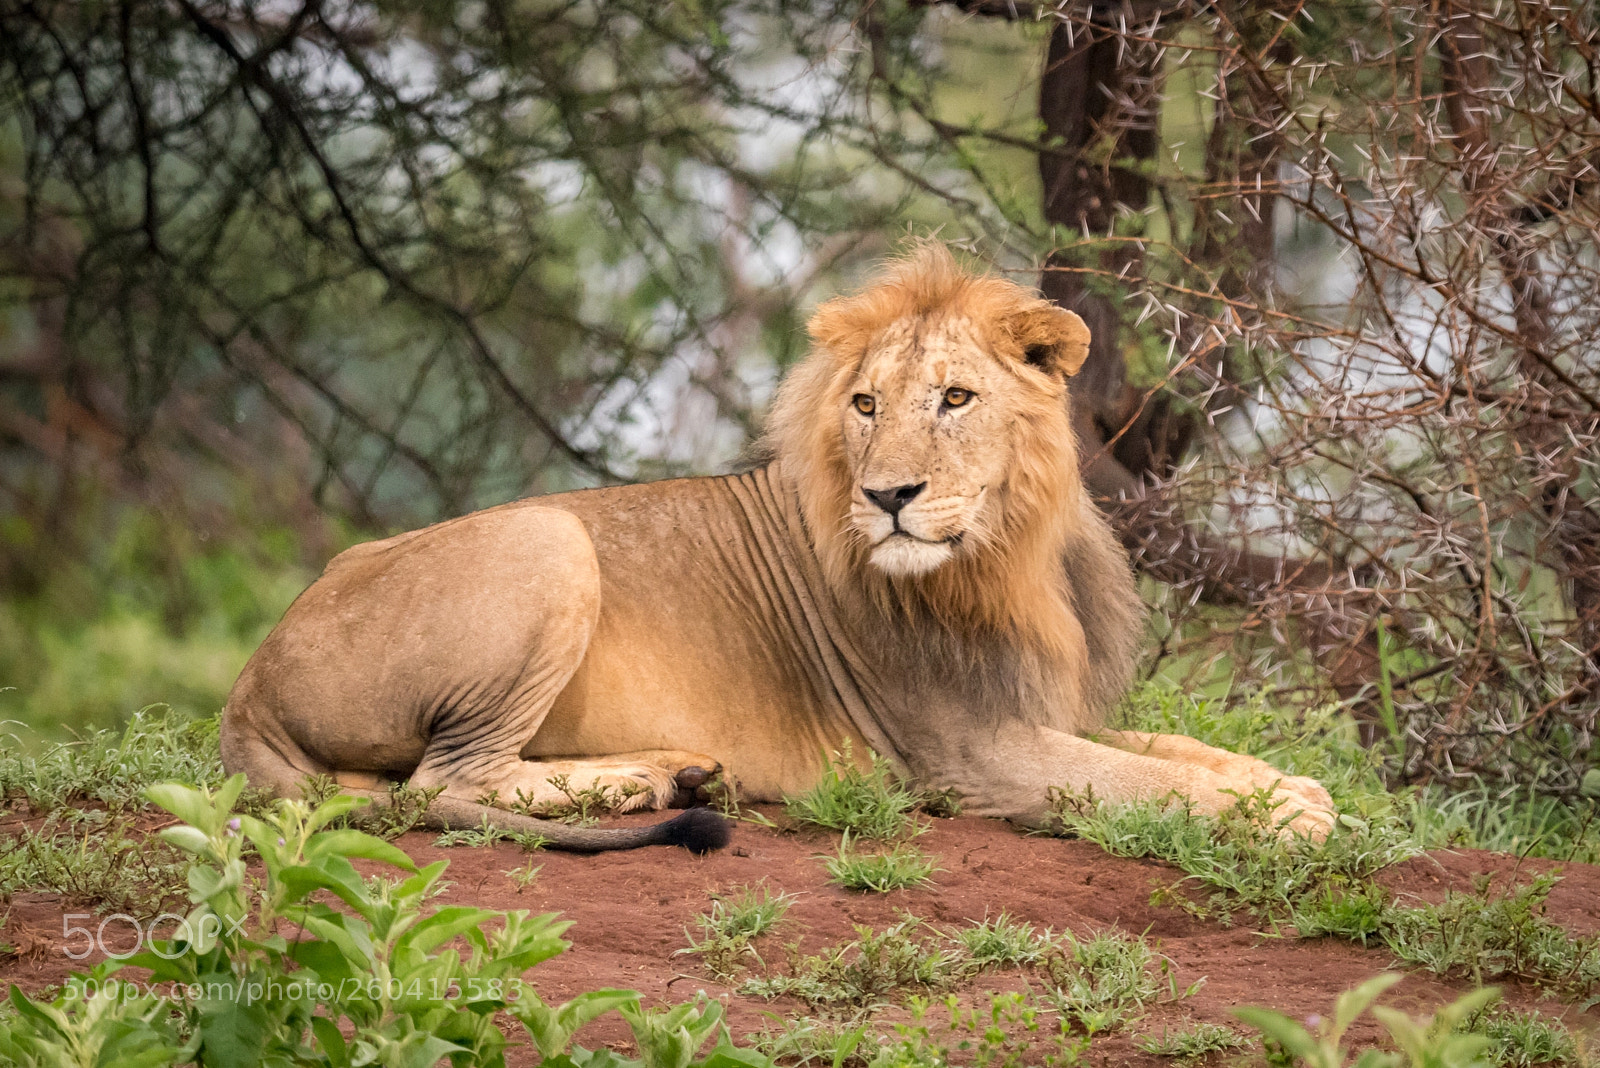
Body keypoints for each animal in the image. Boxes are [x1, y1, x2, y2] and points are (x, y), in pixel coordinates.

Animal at [221, 243, 1336, 852]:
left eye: (956, 399)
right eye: (865, 405)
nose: (888, 496)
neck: (1010, 553)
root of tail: (246, 689)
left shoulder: (1042, 708)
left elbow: (1179, 752)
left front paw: (1291, 788)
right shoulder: (970, 754)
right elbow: (1146, 784)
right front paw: (1288, 818)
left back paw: (673, 772)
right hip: (549, 536)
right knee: (443, 784)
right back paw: (640, 784)